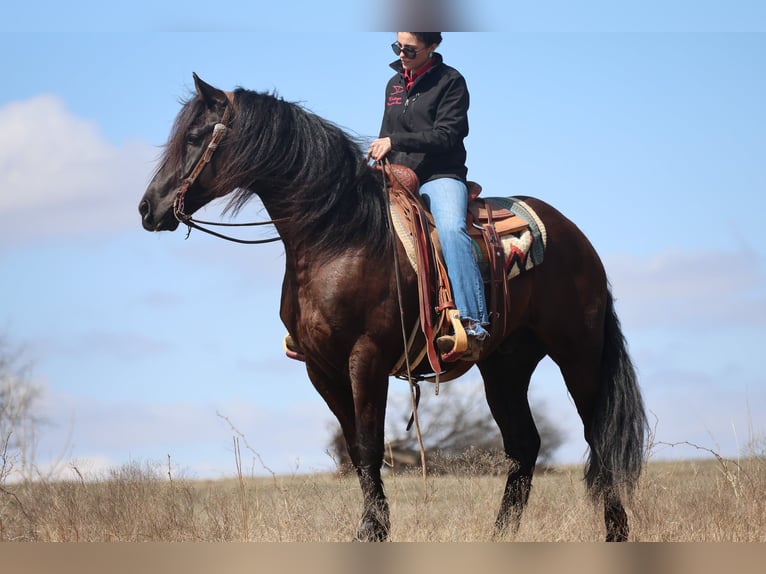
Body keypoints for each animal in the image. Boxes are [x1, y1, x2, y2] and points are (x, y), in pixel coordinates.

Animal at [139, 73, 647, 541]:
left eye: (194, 136)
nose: (148, 208)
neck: (338, 237)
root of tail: (576, 237)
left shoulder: (367, 357)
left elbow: (368, 446)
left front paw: (372, 531)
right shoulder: (321, 367)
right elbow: (354, 447)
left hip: (578, 354)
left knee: (599, 436)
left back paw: (615, 531)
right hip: (506, 364)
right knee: (523, 445)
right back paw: (500, 537)